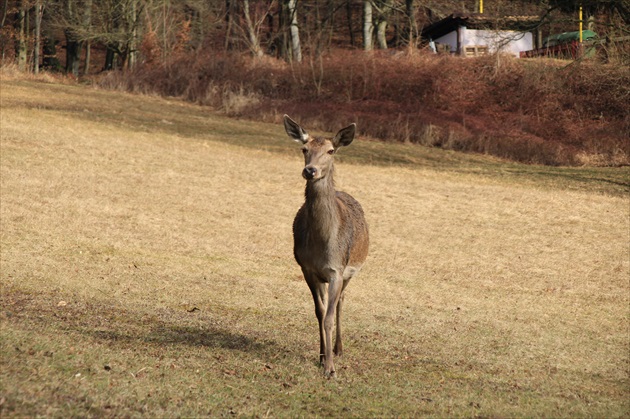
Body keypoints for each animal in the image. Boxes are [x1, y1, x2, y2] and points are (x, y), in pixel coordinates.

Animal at [282, 115, 370, 380]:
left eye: (331, 151)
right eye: (304, 148)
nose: (310, 170)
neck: (322, 247)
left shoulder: (336, 270)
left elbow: (330, 315)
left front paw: (331, 368)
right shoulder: (307, 269)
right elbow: (319, 313)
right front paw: (322, 358)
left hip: (351, 271)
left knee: (341, 301)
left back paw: (338, 348)